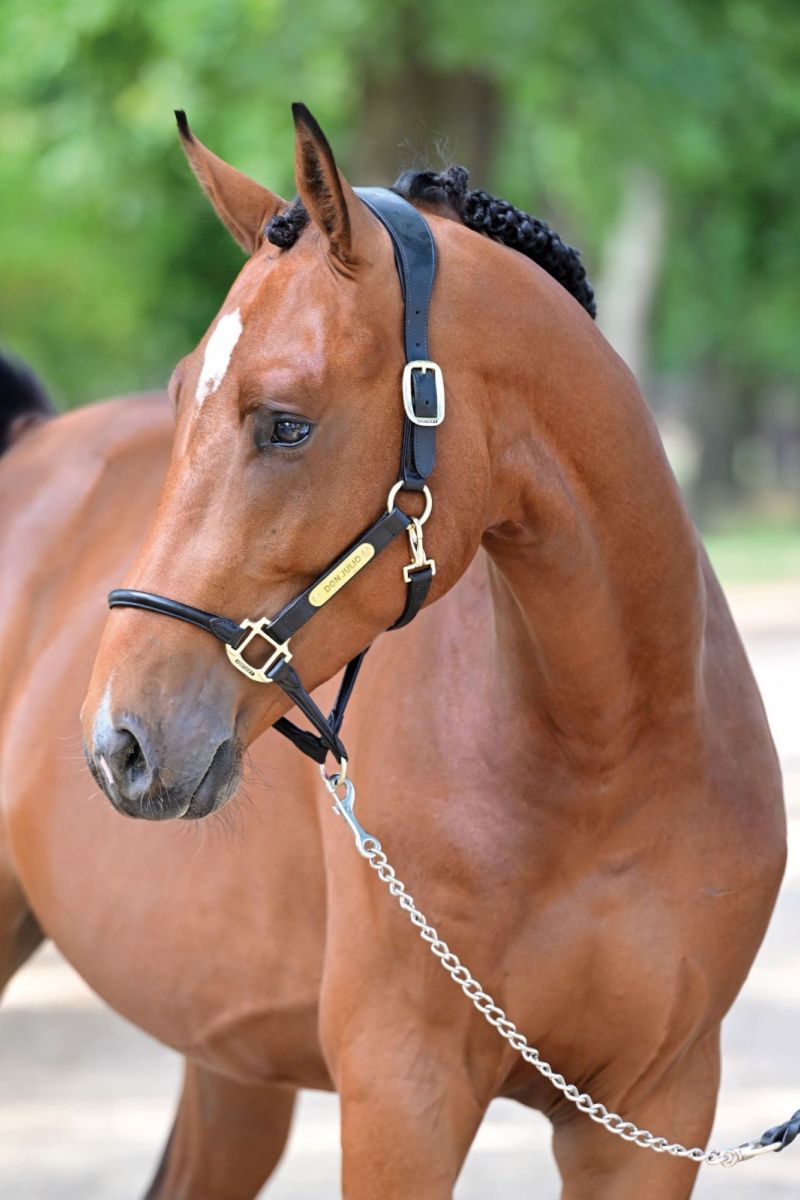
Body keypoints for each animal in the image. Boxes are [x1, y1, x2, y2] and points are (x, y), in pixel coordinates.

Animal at [1, 103, 786, 1198]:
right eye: (177, 397)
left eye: (286, 424)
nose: (120, 740)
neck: (605, 756)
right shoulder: (401, 1095)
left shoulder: (653, 1111)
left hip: (230, 1057)